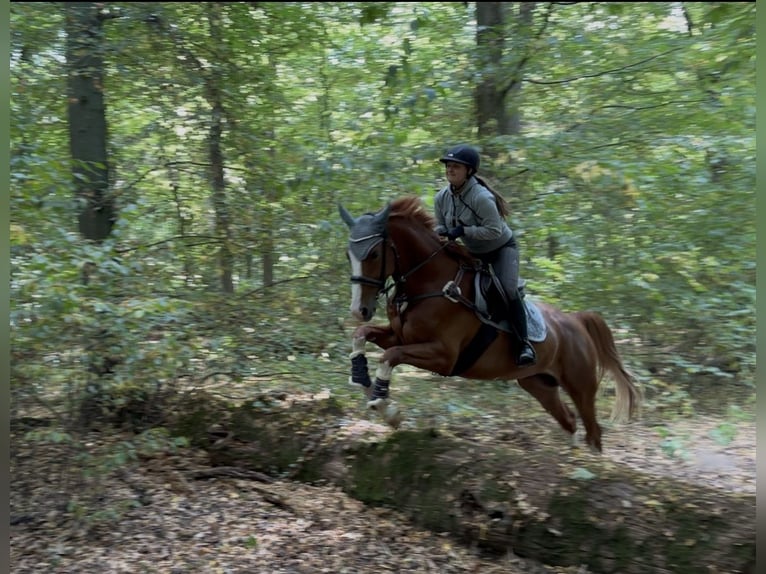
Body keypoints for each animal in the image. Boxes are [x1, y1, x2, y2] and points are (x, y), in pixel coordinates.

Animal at [338, 196, 641, 453]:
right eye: (348, 255)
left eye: (374, 254)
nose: (359, 309)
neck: (428, 284)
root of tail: (575, 320)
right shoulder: (399, 335)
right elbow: (362, 335)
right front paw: (362, 377)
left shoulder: (444, 356)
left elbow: (390, 355)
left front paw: (384, 406)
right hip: (538, 383)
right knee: (569, 420)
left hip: (580, 385)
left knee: (593, 430)